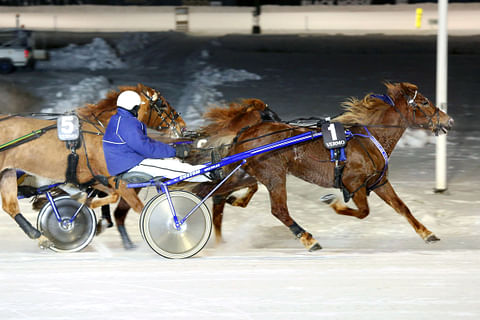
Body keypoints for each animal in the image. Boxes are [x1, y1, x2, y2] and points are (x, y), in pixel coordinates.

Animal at [1, 82, 184, 248]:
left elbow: (107, 195)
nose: (182, 125)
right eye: (163, 104)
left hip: (8, 173)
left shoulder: (92, 177)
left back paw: (40, 237)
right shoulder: (112, 178)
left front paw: (86, 205)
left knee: (10, 207)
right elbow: (136, 205)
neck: (105, 129)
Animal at [210, 82, 454, 250]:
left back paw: (223, 231)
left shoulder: (379, 181)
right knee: (279, 210)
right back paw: (308, 239)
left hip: (247, 173)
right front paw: (333, 203)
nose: (449, 121)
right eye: (424, 102)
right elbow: (363, 211)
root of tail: (247, 131)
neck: (369, 138)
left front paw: (427, 233)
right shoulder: (353, 182)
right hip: (274, 176)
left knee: (220, 196)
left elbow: (402, 208)